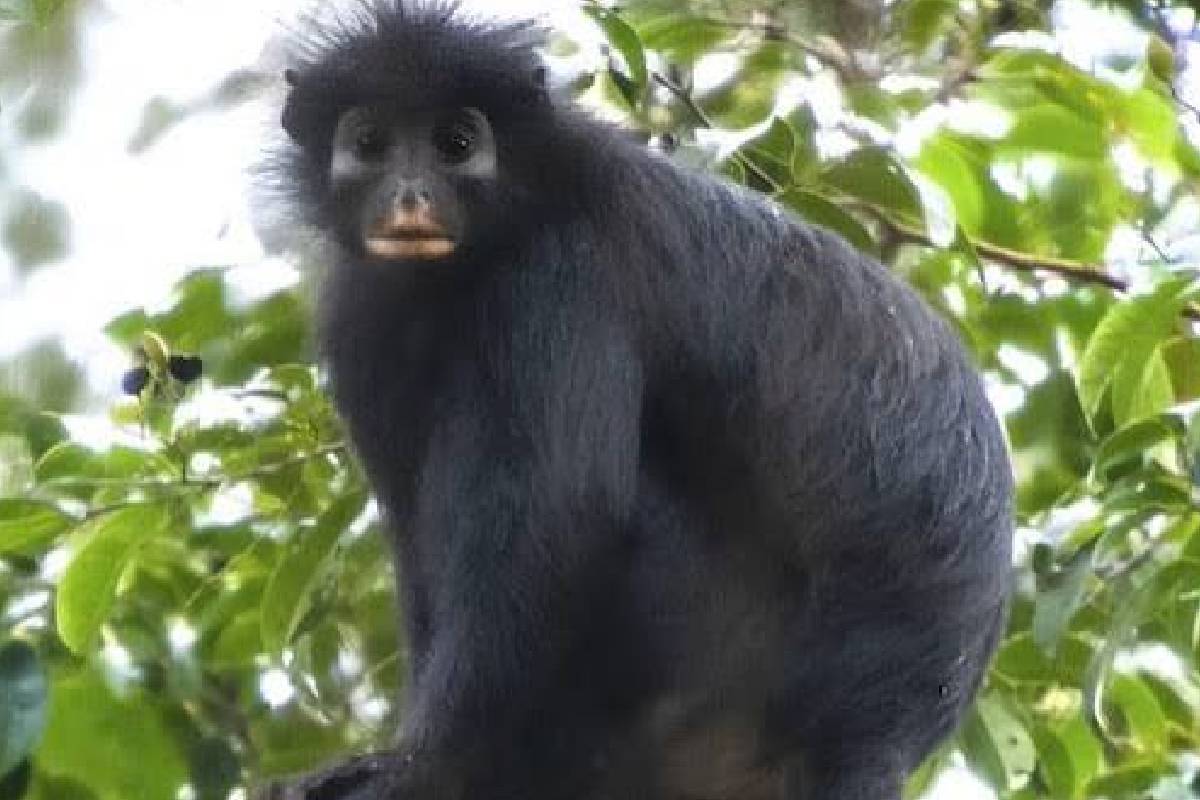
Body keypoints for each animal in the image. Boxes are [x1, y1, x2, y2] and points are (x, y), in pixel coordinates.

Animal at [266, 2, 1013, 798]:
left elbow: (560, 523)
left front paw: (420, 764)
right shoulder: (362, 318)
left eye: (456, 144)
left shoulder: (559, 274)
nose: (411, 195)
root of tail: (876, 735)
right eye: (370, 144)